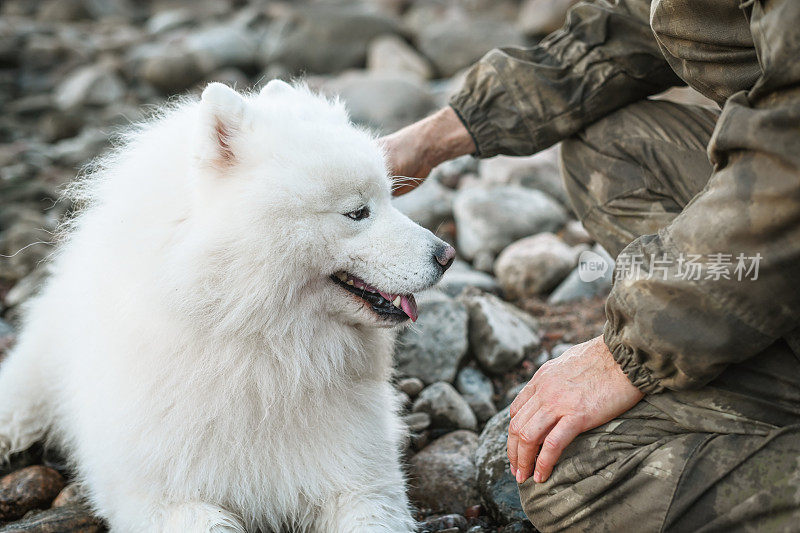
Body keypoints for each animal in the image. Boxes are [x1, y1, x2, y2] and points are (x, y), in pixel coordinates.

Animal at [0, 81, 454, 528]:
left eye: (390, 199)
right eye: (357, 212)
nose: (447, 255)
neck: (269, 354)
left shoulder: (363, 483)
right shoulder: (166, 497)